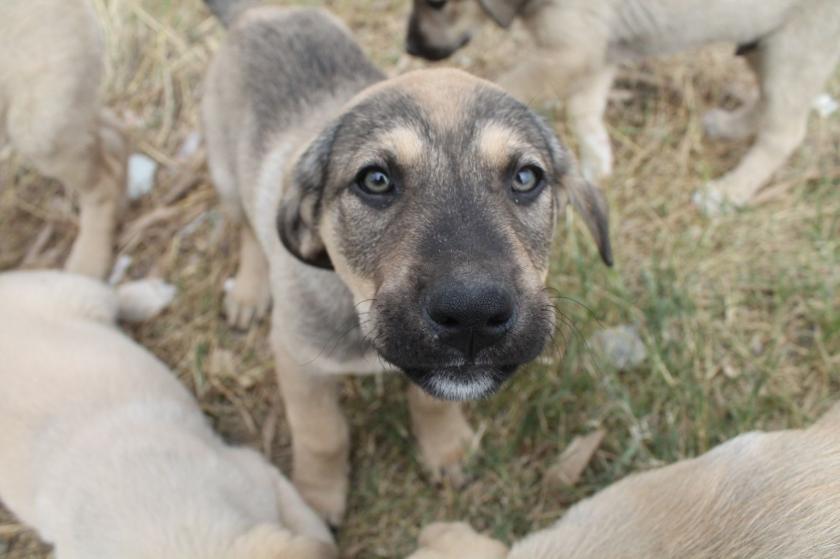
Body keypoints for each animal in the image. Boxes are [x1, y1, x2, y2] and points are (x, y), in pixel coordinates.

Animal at [202, 0, 612, 528]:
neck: (356, 306)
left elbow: (431, 403)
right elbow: (323, 436)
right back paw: (251, 291)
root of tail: (254, 14)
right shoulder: (297, 360)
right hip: (225, 174)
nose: (473, 315)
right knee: (248, 231)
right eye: (375, 180)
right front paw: (317, 499)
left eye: (526, 177)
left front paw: (446, 449)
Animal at [406, 0, 840, 214]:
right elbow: (585, 113)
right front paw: (596, 164)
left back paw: (729, 192)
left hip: (794, 50)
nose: (410, 48)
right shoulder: (597, 54)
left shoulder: (570, 53)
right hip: (763, 45)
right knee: (765, 103)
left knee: (784, 132)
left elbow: (506, 90)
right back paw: (728, 126)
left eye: (437, 1)